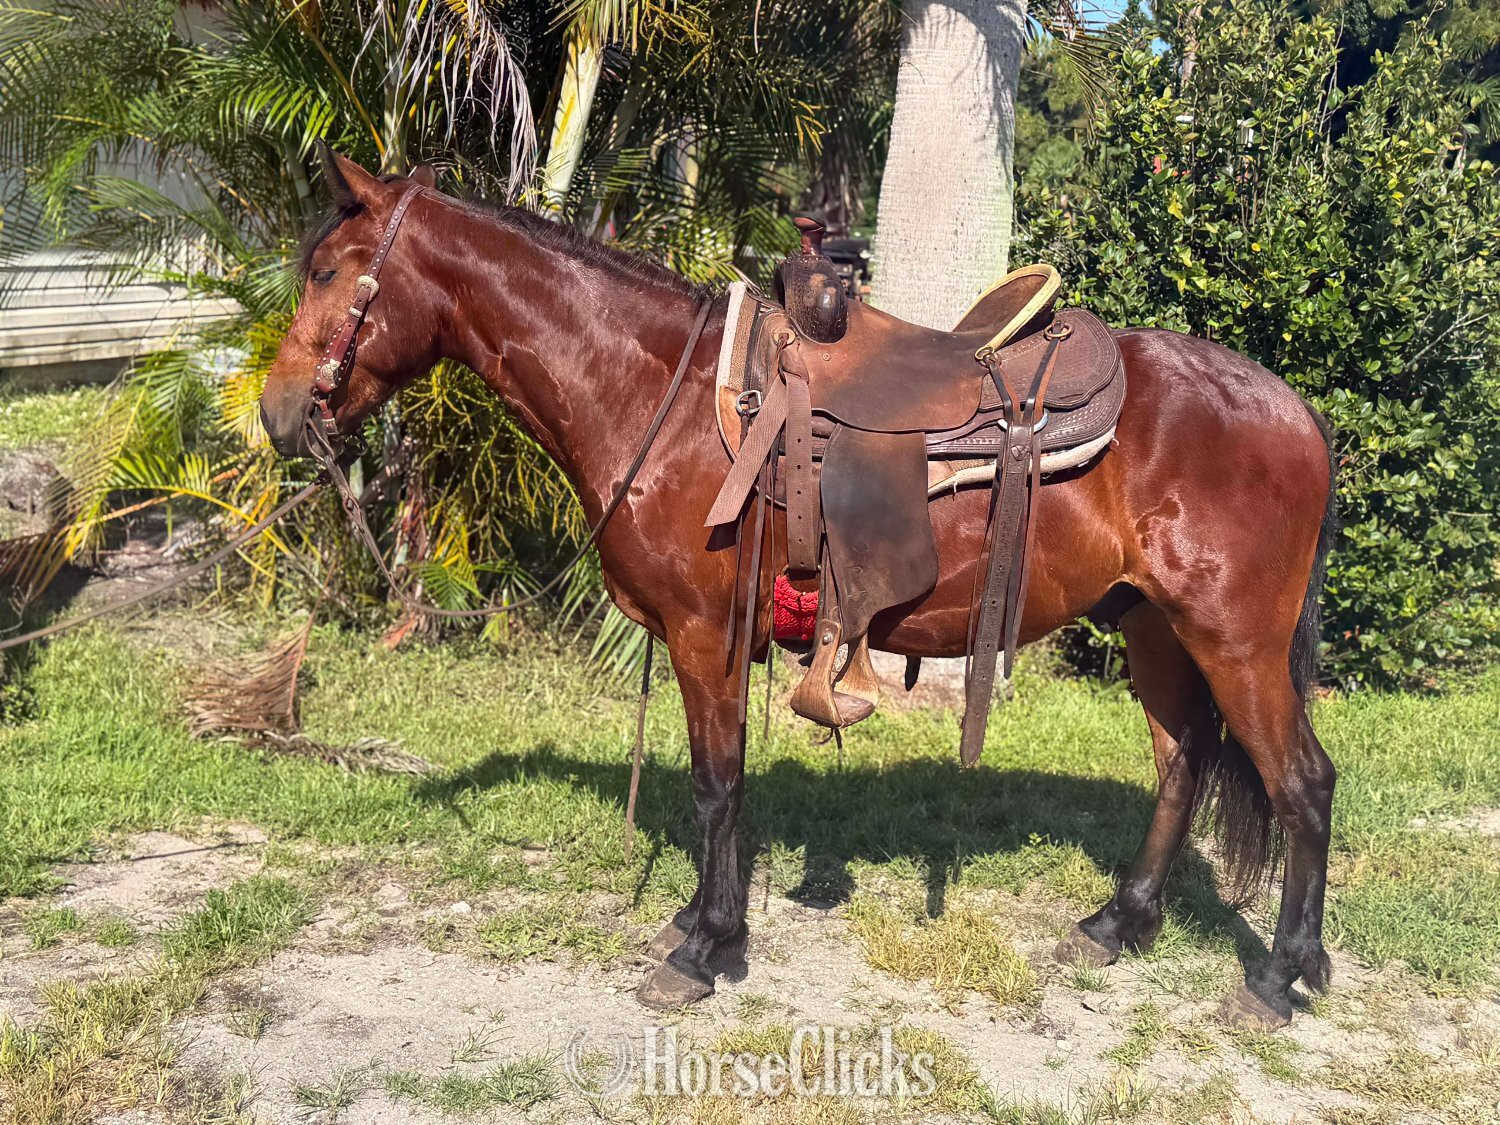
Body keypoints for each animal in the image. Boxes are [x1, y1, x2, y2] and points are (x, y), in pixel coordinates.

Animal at [259, 151, 1339, 1030]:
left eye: (329, 272)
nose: (275, 413)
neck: (664, 393)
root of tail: (1297, 411)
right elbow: (721, 781)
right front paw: (704, 923)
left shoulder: (704, 631)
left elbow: (716, 784)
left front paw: (705, 949)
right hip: (1154, 629)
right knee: (1182, 762)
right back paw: (1120, 923)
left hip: (1235, 640)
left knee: (1303, 784)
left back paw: (1278, 978)